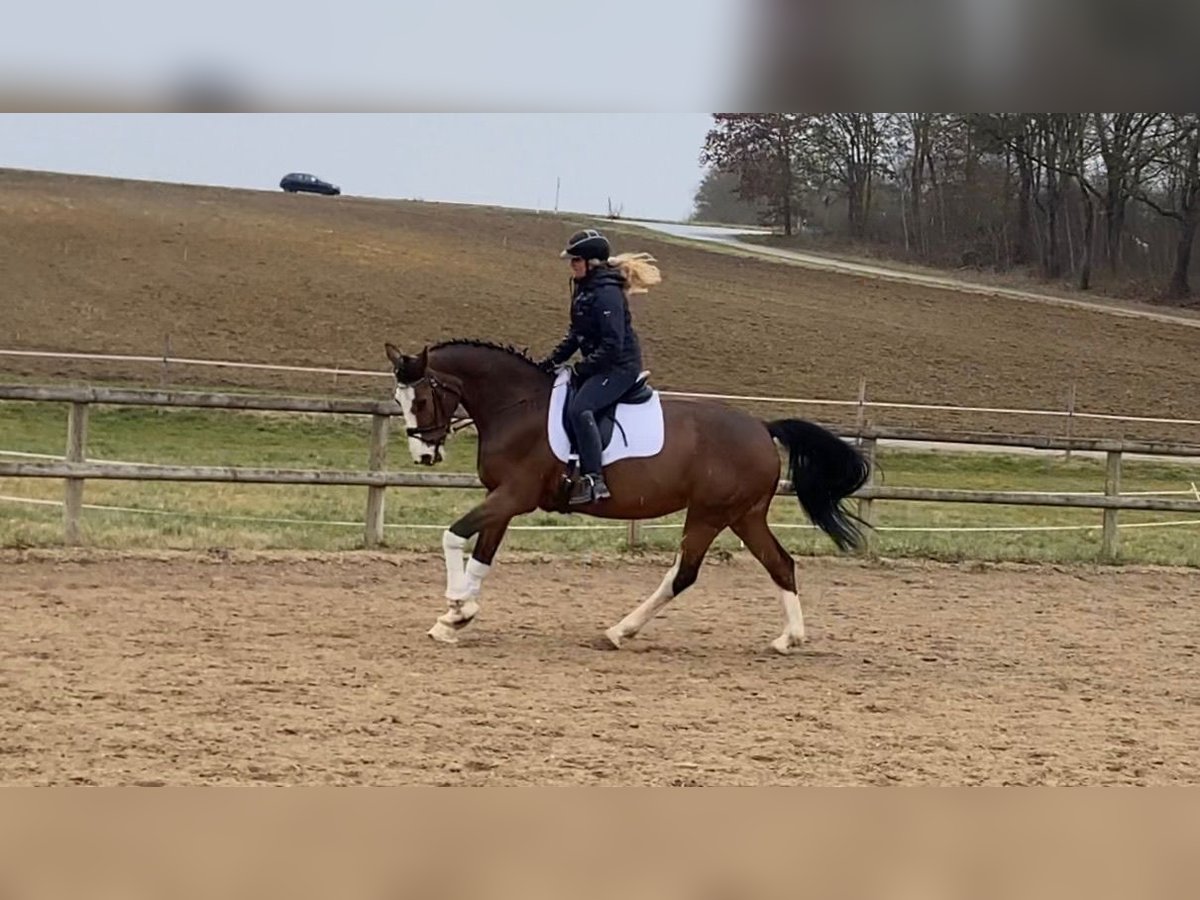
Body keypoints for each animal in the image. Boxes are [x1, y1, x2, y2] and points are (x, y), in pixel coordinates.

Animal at [388, 338, 868, 657]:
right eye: (399, 398)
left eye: (423, 399)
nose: (424, 455)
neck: (517, 407)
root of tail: (763, 429)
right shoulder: (501, 499)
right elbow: (482, 557)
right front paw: (455, 619)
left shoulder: (513, 496)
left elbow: (454, 535)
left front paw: (456, 604)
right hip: (743, 515)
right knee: (780, 564)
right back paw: (789, 639)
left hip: (709, 514)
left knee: (684, 574)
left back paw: (618, 632)